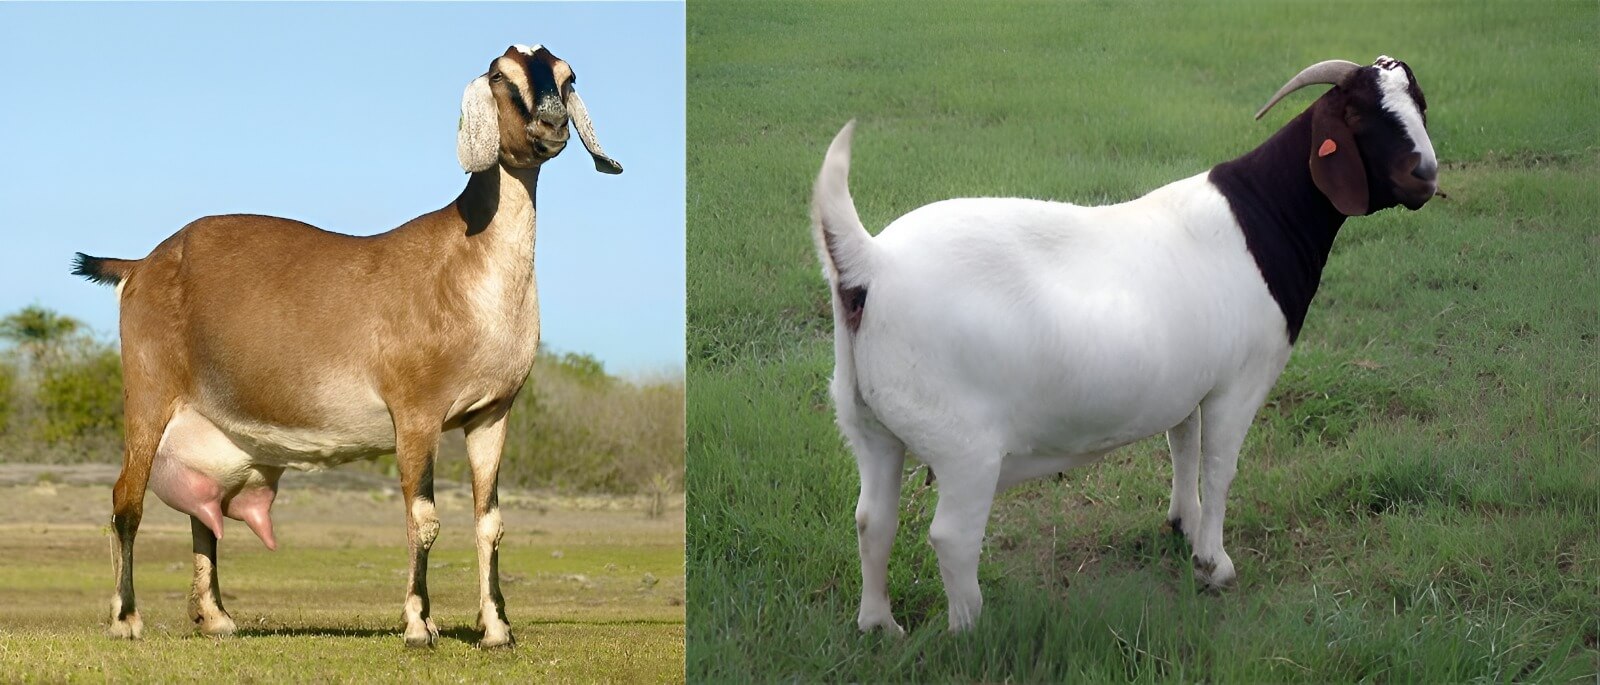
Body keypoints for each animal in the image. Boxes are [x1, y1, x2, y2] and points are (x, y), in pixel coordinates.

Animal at [73, 44, 621, 648]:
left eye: (567, 77)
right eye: (501, 76)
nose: (550, 127)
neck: (467, 265)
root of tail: (140, 265)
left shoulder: (491, 414)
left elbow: (490, 522)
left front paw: (497, 628)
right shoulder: (416, 414)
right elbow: (423, 520)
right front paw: (418, 624)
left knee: (204, 511)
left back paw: (216, 617)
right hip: (148, 393)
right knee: (127, 500)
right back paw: (126, 618)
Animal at [812, 56, 1436, 633]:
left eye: (1421, 104)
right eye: (1356, 114)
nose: (1425, 174)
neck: (1263, 216)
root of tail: (870, 264)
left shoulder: (1187, 382)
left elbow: (1183, 448)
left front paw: (1184, 526)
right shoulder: (1240, 380)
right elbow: (1219, 466)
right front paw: (1215, 565)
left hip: (868, 424)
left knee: (872, 520)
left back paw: (880, 626)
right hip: (965, 446)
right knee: (952, 536)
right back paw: (971, 630)